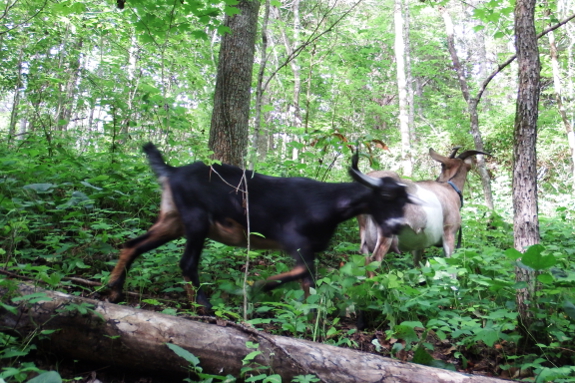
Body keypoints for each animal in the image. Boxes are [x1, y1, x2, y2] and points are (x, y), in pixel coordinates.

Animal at [107, 144, 414, 308]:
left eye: (406, 200)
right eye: (386, 197)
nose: (398, 227)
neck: (327, 202)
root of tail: (172, 172)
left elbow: (309, 283)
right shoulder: (295, 242)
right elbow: (304, 271)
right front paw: (253, 288)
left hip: (173, 221)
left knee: (132, 245)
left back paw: (114, 289)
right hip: (196, 221)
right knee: (186, 262)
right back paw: (205, 305)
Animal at [358, 147, 488, 270]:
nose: (438, 180)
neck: (449, 188)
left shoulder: (419, 242)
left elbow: (417, 266)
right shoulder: (449, 232)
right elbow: (450, 265)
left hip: (364, 232)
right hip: (386, 232)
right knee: (375, 260)